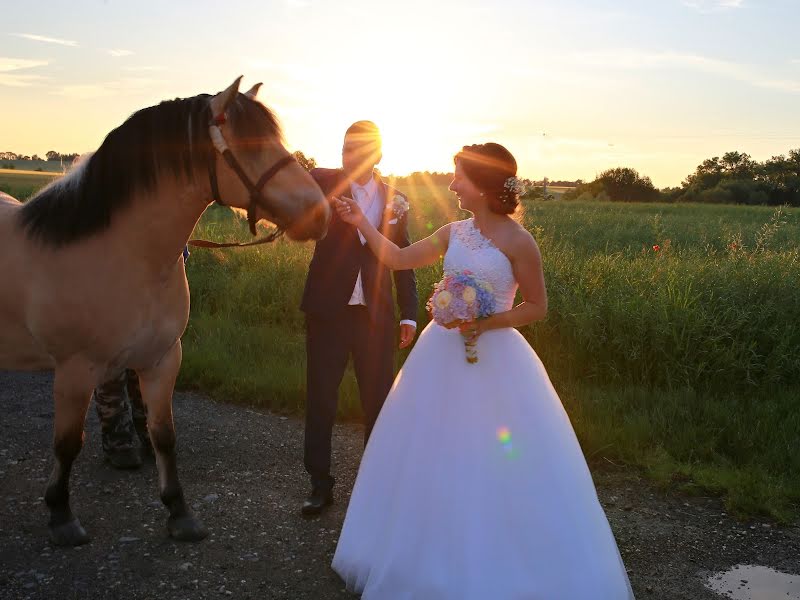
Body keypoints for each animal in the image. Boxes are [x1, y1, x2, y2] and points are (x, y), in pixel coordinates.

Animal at [0, 77, 332, 548]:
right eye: (249, 146)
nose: (320, 213)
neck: (122, 254)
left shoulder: (161, 360)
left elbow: (164, 436)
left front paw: (179, 512)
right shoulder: (74, 370)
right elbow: (66, 444)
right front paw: (61, 516)